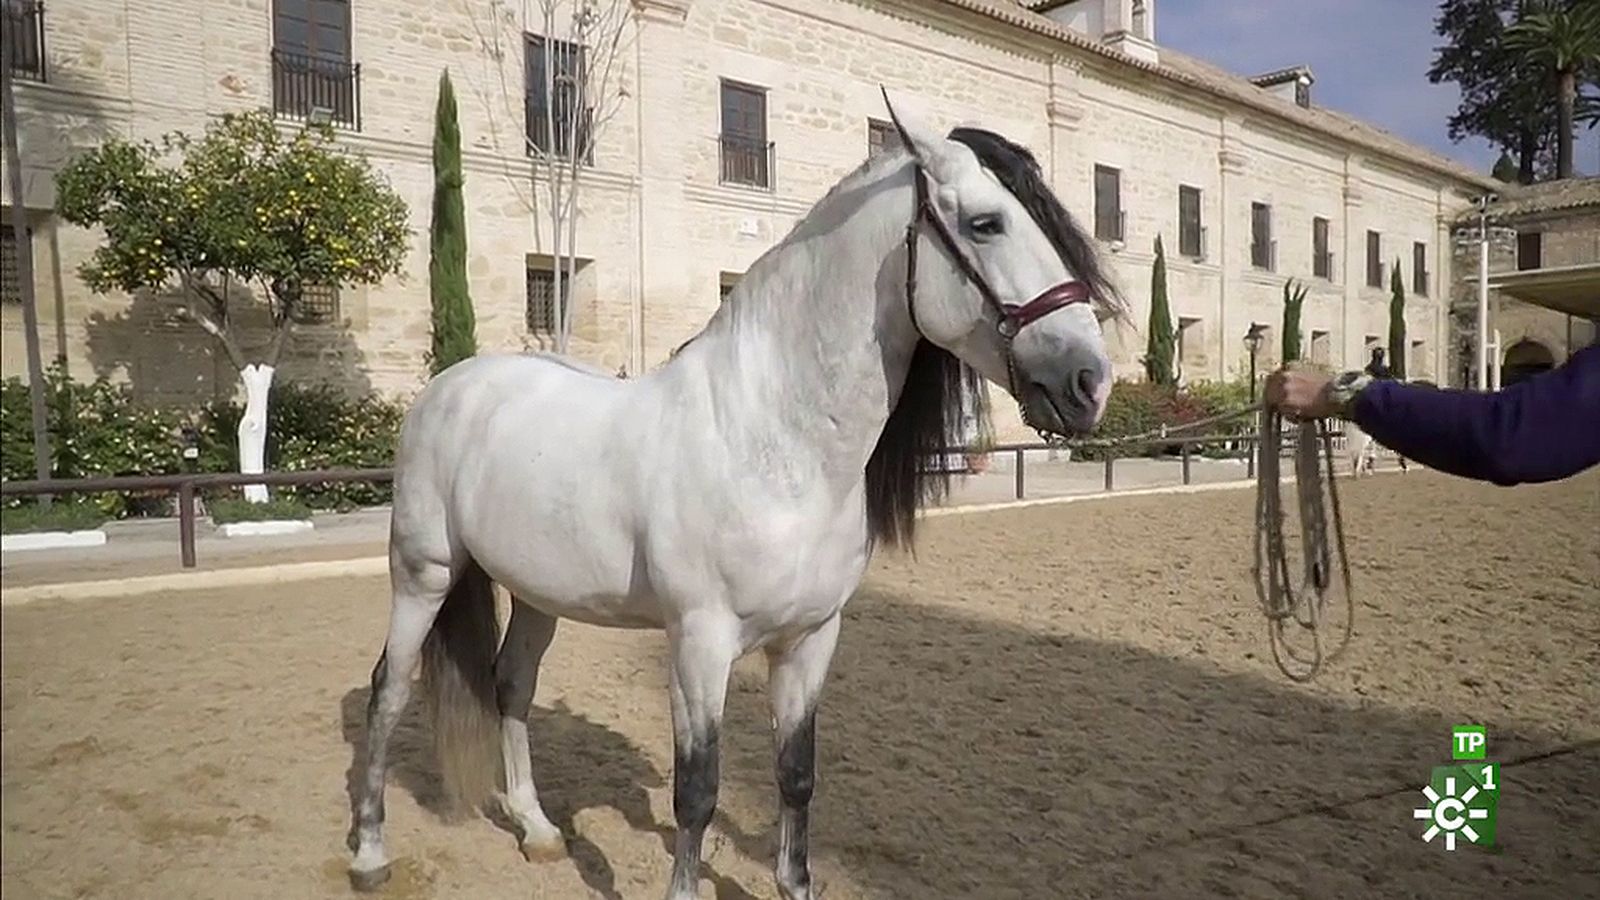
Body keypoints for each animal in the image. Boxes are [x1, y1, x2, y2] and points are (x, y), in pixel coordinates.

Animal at [347, 92, 1121, 900]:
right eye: (985, 222)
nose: (1089, 382)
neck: (772, 443)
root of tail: (451, 387)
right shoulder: (699, 644)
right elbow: (697, 790)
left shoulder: (810, 641)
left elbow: (796, 775)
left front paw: (795, 882)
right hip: (423, 573)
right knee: (388, 689)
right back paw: (370, 853)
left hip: (537, 593)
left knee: (511, 685)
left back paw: (537, 830)